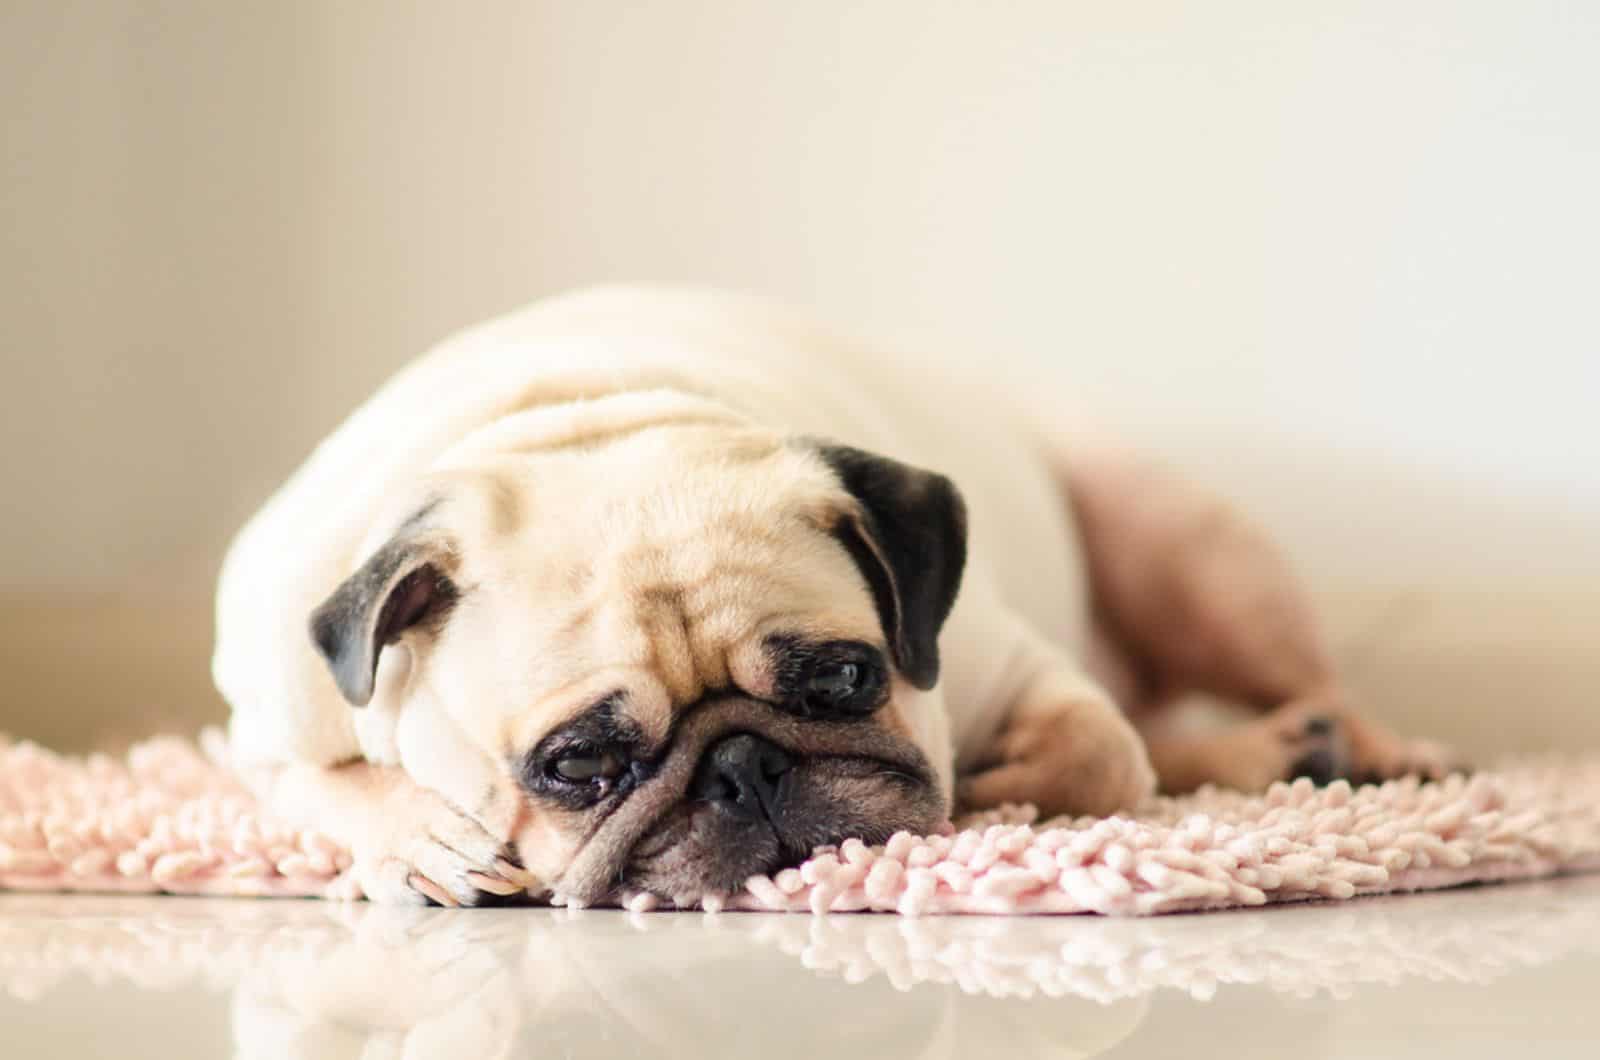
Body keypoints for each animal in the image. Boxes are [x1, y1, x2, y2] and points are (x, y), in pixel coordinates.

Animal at [216, 286, 1465, 909]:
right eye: (580, 764)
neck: (579, 422)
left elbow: (1100, 750)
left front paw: (1002, 787)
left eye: (846, 678)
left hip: (1185, 546)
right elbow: (325, 787)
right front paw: (424, 840)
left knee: (1258, 690)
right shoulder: (261, 726)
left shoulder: (1008, 660)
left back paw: (1359, 749)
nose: (743, 766)